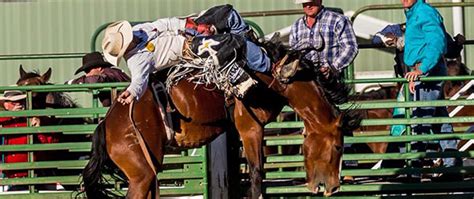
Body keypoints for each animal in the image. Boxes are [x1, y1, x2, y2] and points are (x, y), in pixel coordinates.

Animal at [81, 39, 360, 198]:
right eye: (338, 147)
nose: (333, 187)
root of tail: (107, 125)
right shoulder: (250, 128)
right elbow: (256, 174)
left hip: (148, 172)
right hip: (140, 174)